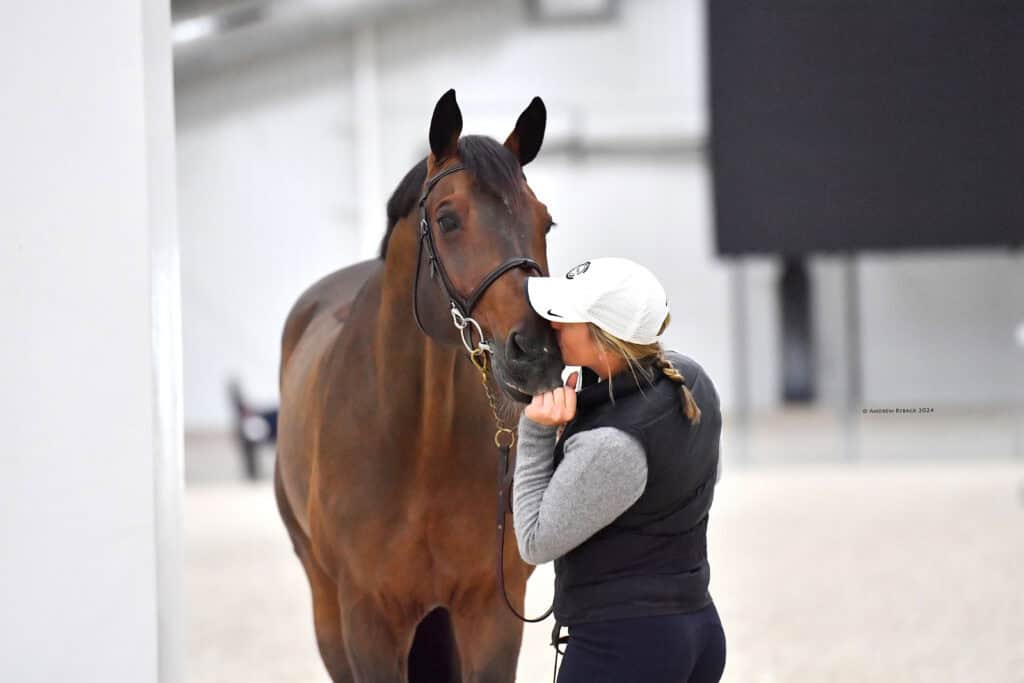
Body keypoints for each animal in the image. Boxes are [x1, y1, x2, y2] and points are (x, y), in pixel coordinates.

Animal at [274, 89, 565, 682]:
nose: (538, 353)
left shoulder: (490, 613)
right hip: (325, 603)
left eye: (545, 222)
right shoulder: (368, 620)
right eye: (448, 219)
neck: (419, 444)